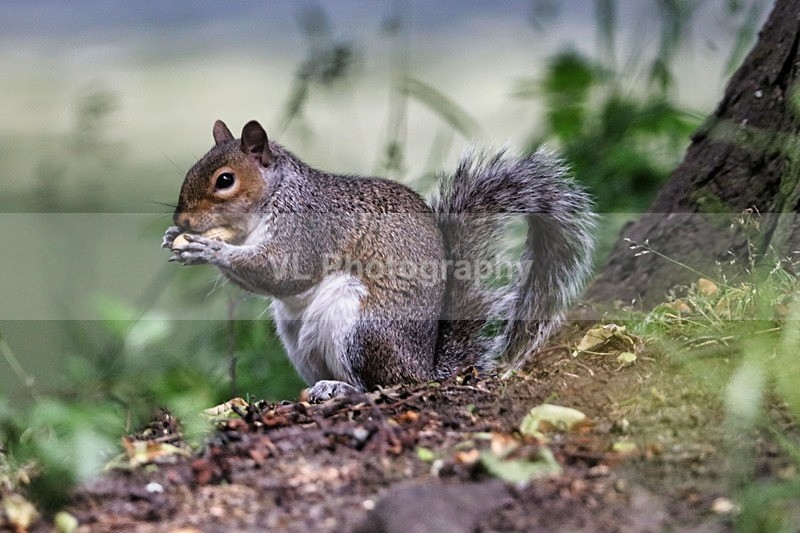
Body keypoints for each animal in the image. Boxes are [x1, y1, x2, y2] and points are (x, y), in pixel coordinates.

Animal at [162, 120, 595, 401]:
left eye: (225, 180)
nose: (182, 221)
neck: (277, 195)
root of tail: (425, 368)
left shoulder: (309, 232)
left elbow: (281, 271)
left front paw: (207, 250)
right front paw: (175, 239)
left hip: (361, 328)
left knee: (383, 385)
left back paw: (342, 388)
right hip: (298, 338)